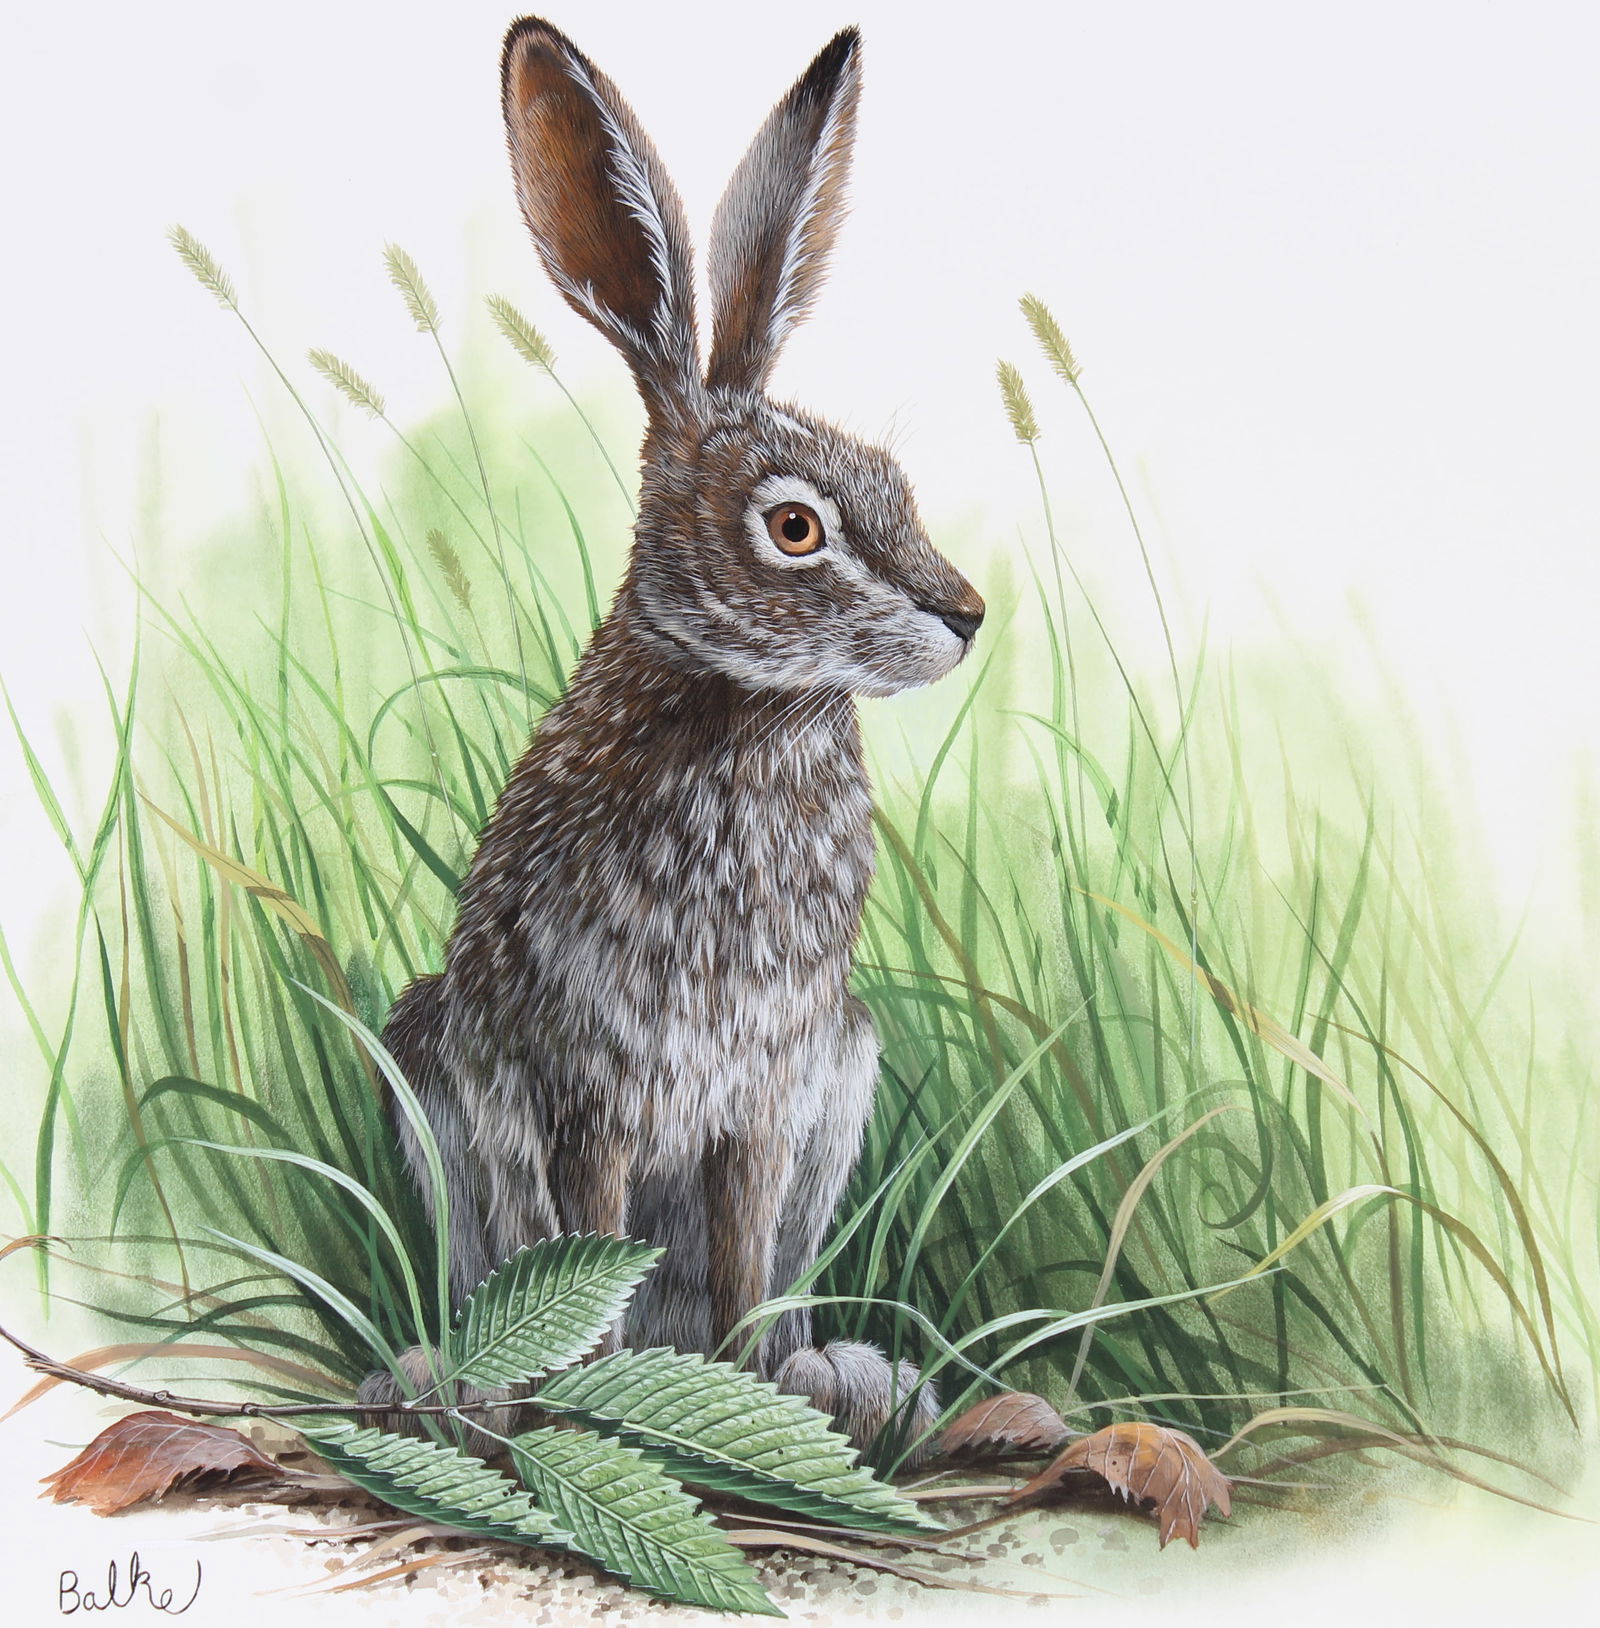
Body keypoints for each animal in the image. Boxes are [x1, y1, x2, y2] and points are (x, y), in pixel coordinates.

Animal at [359, 14, 985, 1462]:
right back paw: (452, 1386)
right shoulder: (587, 1084)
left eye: (895, 481)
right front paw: (604, 1402)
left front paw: (755, 1395)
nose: (968, 615)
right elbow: (587, 1238)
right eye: (796, 527)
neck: (748, 706)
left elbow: (746, 1249)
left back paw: (846, 1379)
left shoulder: (765, 1089)